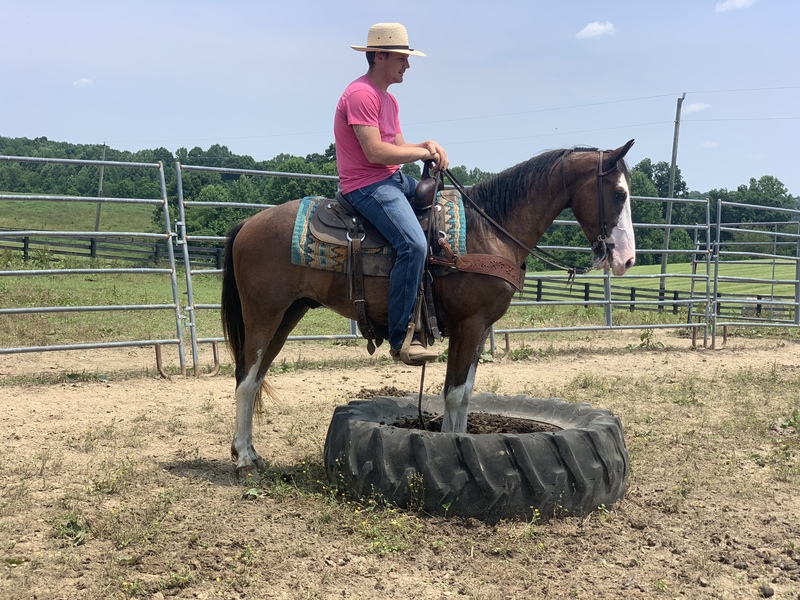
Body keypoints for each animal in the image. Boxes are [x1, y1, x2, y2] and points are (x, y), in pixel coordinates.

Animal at [221, 140, 637, 478]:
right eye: (619, 193)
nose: (627, 260)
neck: (490, 230)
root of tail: (246, 223)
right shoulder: (469, 325)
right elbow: (453, 392)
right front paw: (456, 451)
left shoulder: (480, 328)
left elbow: (465, 393)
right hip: (264, 314)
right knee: (244, 379)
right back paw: (243, 460)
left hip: (289, 314)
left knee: (256, 377)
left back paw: (251, 453)